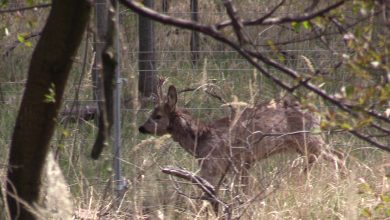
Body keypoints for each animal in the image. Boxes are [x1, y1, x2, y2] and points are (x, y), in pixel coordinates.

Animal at [139, 85, 346, 188]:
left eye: (157, 116)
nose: (141, 127)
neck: (201, 139)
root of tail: (320, 112)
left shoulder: (214, 165)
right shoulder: (242, 165)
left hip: (309, 138)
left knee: (336, 155)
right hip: (303, 144)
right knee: (337, 154)